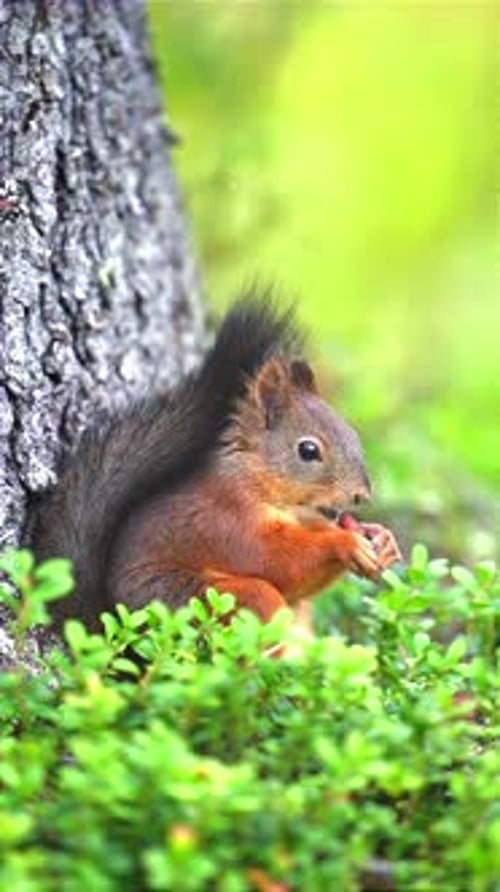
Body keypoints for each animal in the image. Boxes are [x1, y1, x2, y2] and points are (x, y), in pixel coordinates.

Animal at [31, 292, 401, 632]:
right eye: (308, 451)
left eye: (352, 434)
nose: (361, 495)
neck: (259, 482)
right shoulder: (227, 520)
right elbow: (275, 562)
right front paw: (345, 543)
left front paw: (381, 538)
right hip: (201, 600)